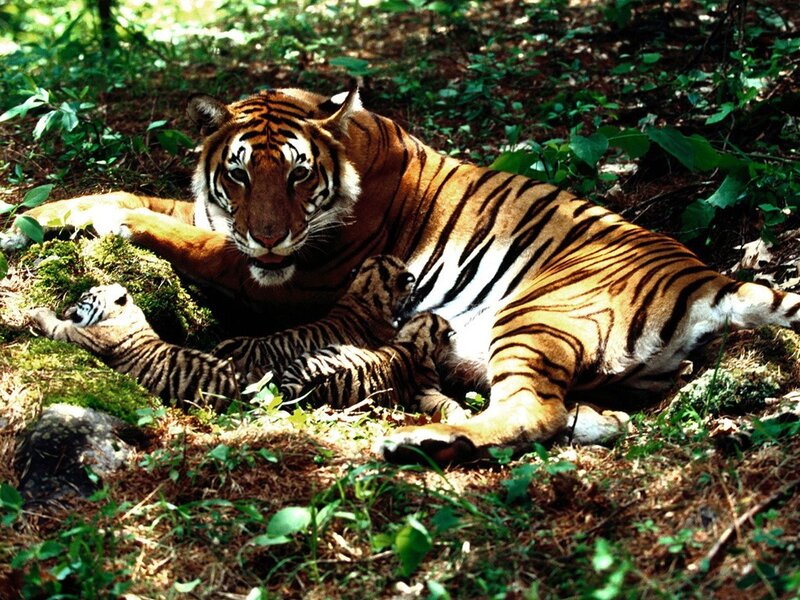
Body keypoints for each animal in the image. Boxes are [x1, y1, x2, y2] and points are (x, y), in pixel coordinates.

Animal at [27, 284, 238, 411]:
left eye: (85, 297)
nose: (68, 308)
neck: (124, 311)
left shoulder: (70, 333)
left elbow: (51, 322)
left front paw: (35, 310)